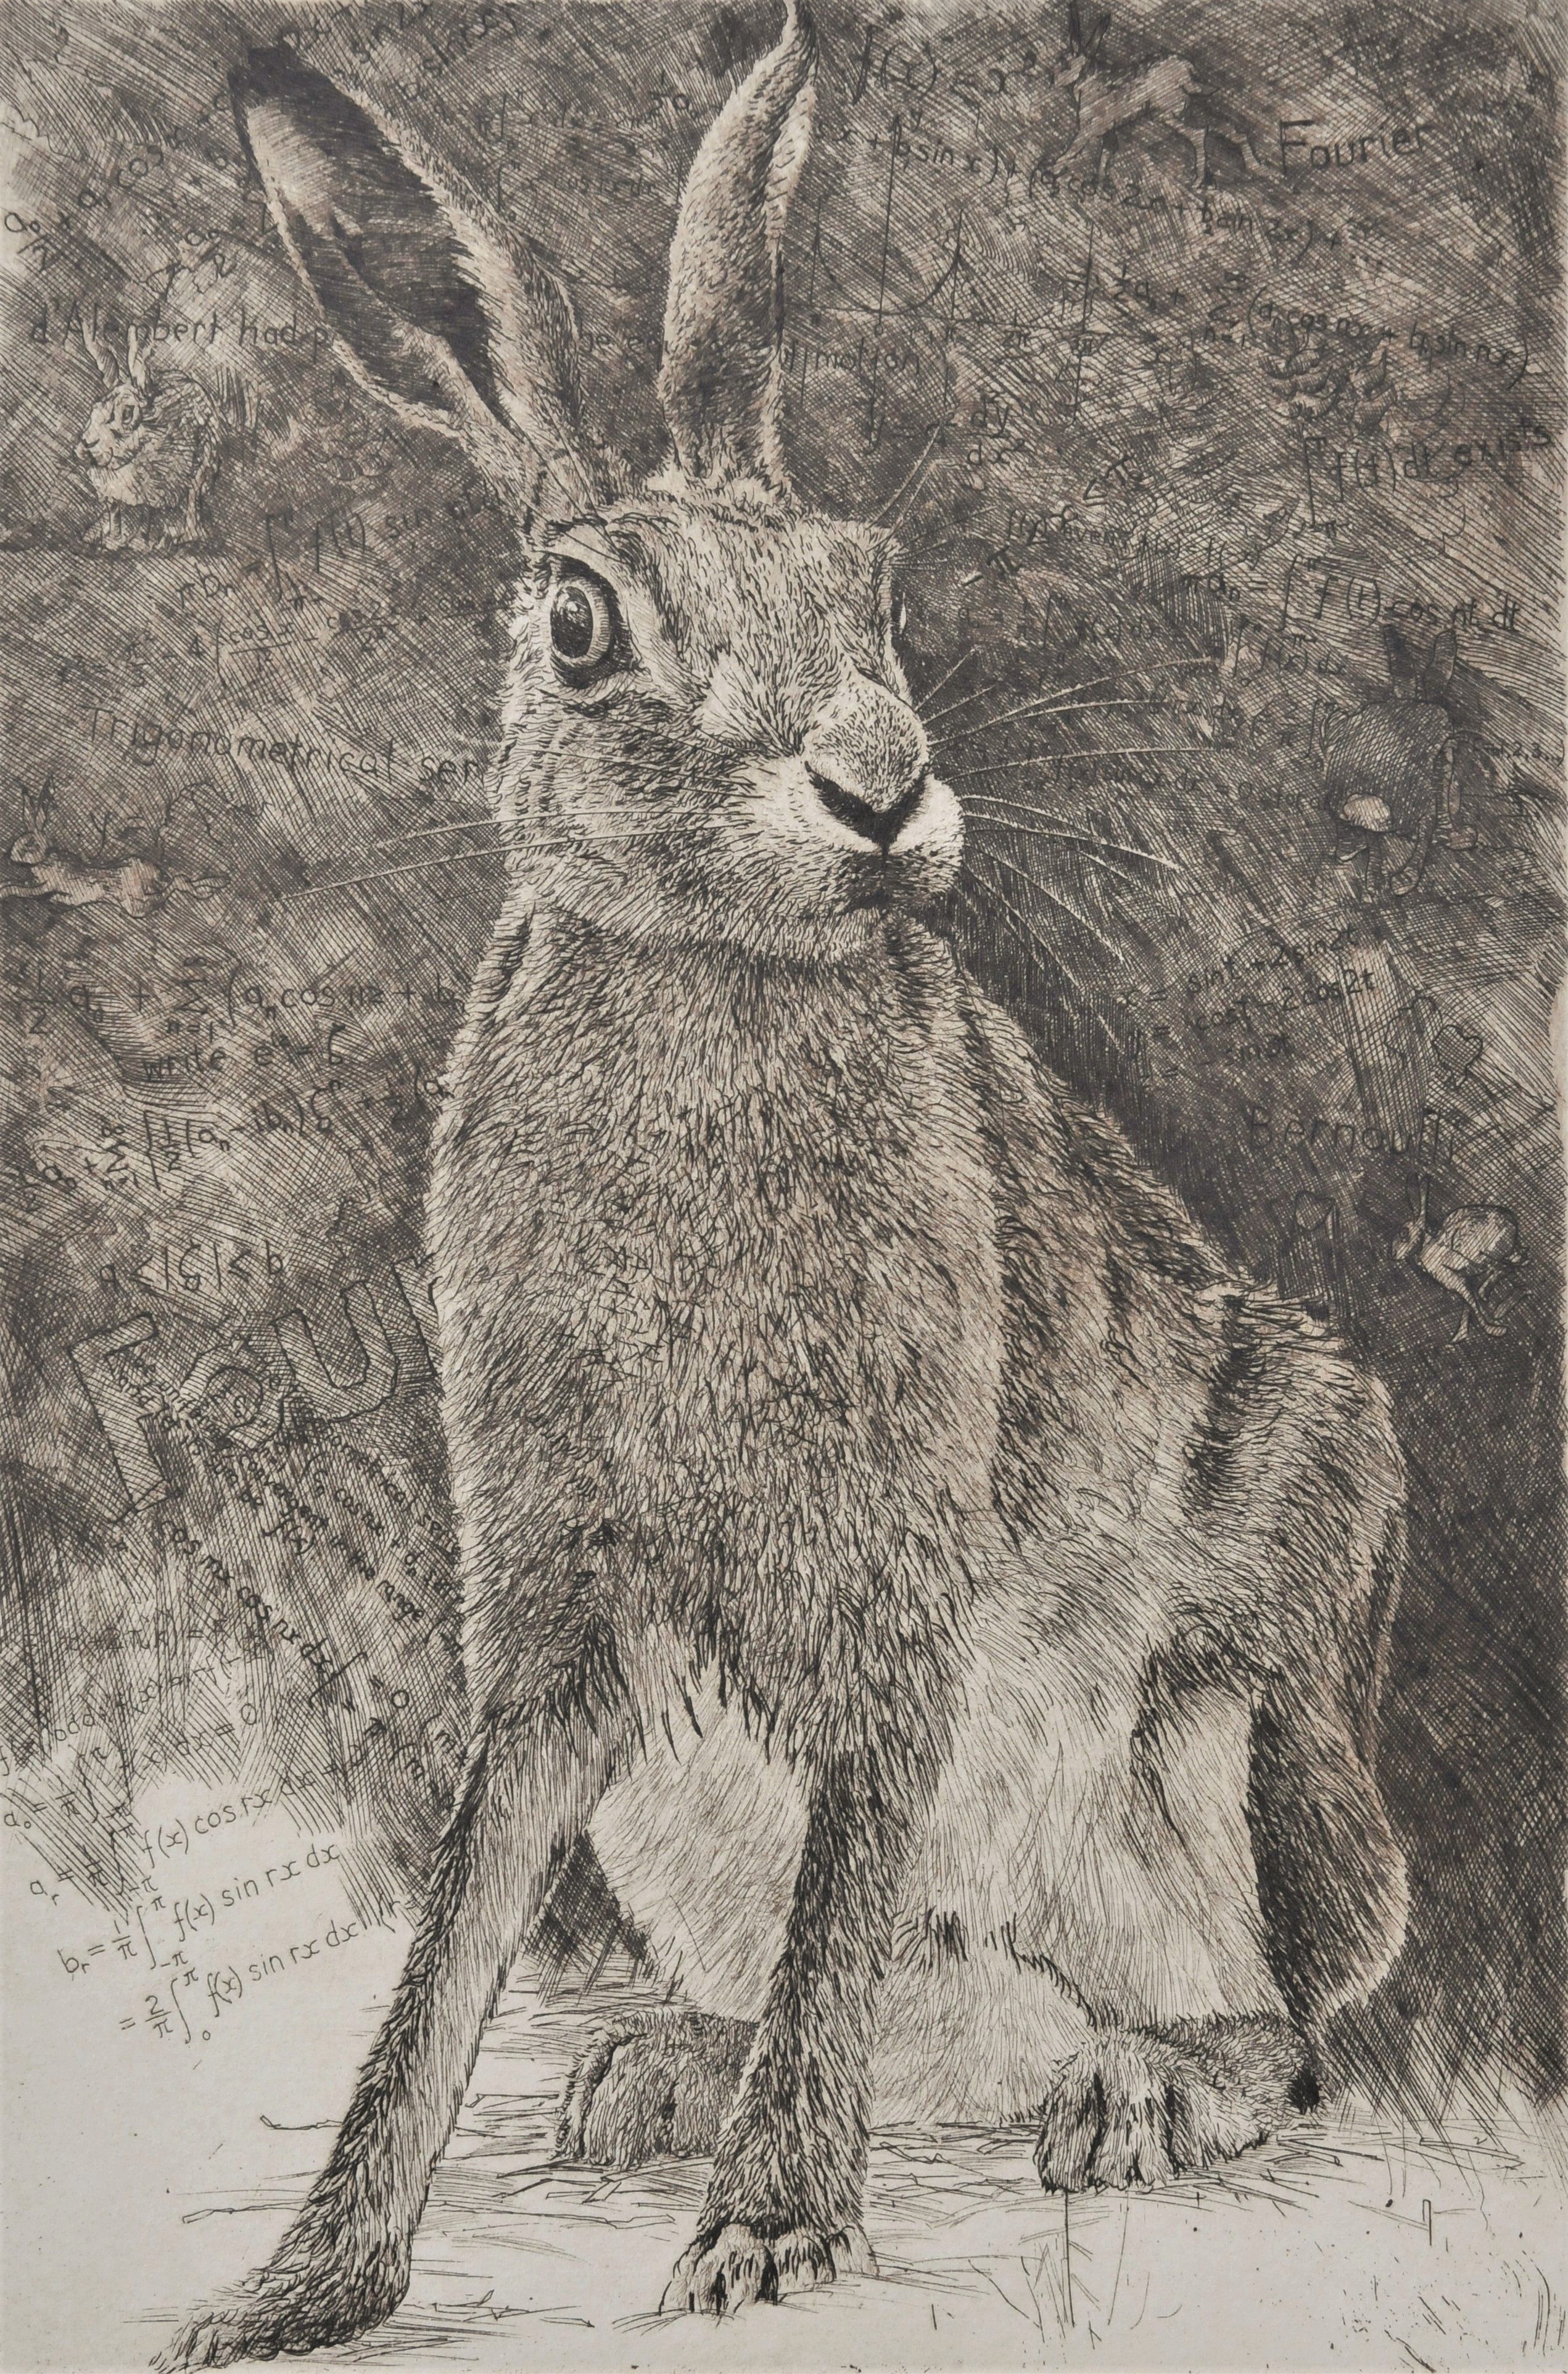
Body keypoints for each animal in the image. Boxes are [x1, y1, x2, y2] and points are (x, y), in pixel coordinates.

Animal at [75, 317, 221, 551]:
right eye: (95, 408)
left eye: (127, 413)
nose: (87, 445)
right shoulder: (113, 492)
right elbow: (115, 512)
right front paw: (112, 541)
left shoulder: (155, 490)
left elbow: (148, 513)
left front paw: (141, 543)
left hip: (202, 467)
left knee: (192, 501)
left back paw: (190, 536)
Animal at [1053, 3, 1263, 186]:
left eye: (1065, 64)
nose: (1052, 79)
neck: (1088, 79)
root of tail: (1187, 71)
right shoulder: (1108, 131)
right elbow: (1106, 155)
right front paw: (1099, 186)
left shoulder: (1089, 128)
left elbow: (1073, 150)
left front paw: (1053, 170)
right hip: (1191, 108)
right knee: (1228, 129)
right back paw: (1256, 168)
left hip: (1165, 113)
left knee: (1199, 134)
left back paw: (1198, 182)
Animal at [1394, 1178, 1521, 1341]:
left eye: (1404, 1234)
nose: (1392, 1254)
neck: (1426, 1244)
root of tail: (1512, 1222)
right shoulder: (1462, 1280)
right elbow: (1471, 1303)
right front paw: (1461, 1335)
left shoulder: (1455, 1279)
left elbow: (1472, 1303)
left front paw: (1495, 1330)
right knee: (1513, 1263)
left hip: (1486, 1251)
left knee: (1505, 1266)